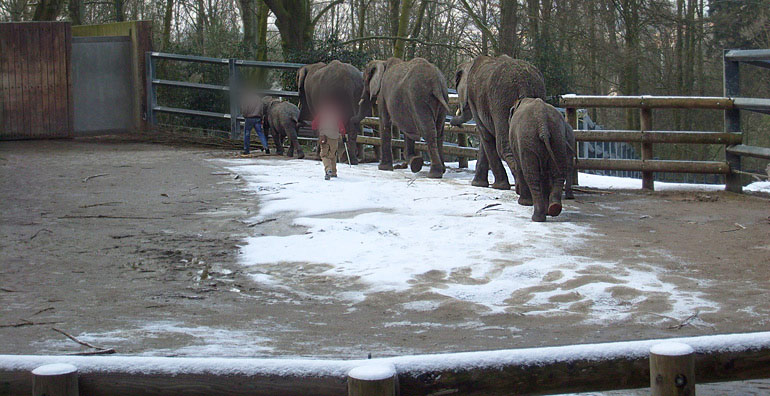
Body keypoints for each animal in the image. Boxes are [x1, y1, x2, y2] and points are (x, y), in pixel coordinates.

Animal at [450, 55, 544, 190]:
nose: (453, 123)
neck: (469, 63)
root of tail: (523, 81)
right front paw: (478, 184)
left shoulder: (475, 99)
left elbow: (485, 136)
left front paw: (498, 186)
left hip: (501, 102)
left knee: (503, 146)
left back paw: (520, 189)